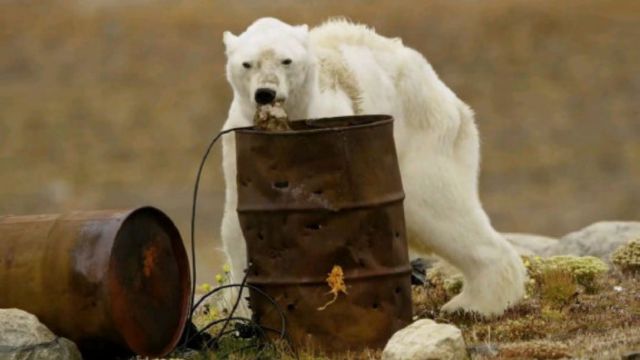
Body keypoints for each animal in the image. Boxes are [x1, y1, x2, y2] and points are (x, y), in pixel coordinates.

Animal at [220, 17, 524, 316]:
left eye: (286, 60)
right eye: (247, 63)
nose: (265, 93)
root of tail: (448, 95)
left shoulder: (329, 125)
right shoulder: (237, 144)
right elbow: (239, 226)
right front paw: (243, 308)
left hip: (422, 137)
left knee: (436, 207)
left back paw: (474, 303)